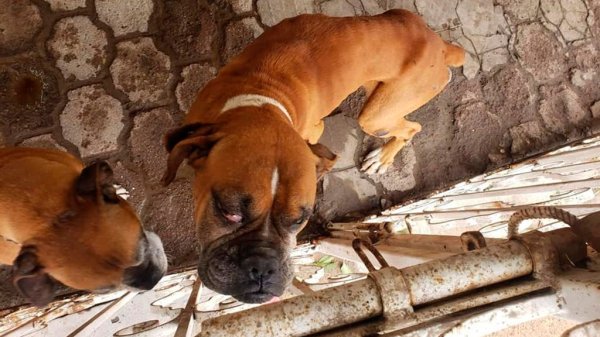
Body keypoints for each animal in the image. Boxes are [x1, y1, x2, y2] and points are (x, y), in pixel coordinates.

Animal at [162, 9, 466, 302]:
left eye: (298, 221)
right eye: (228, 212)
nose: (263, 266)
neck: (262, 98)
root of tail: (441, 45)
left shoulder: (314, 131)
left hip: (376, 116)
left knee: (412, 127)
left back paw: (381, 158)